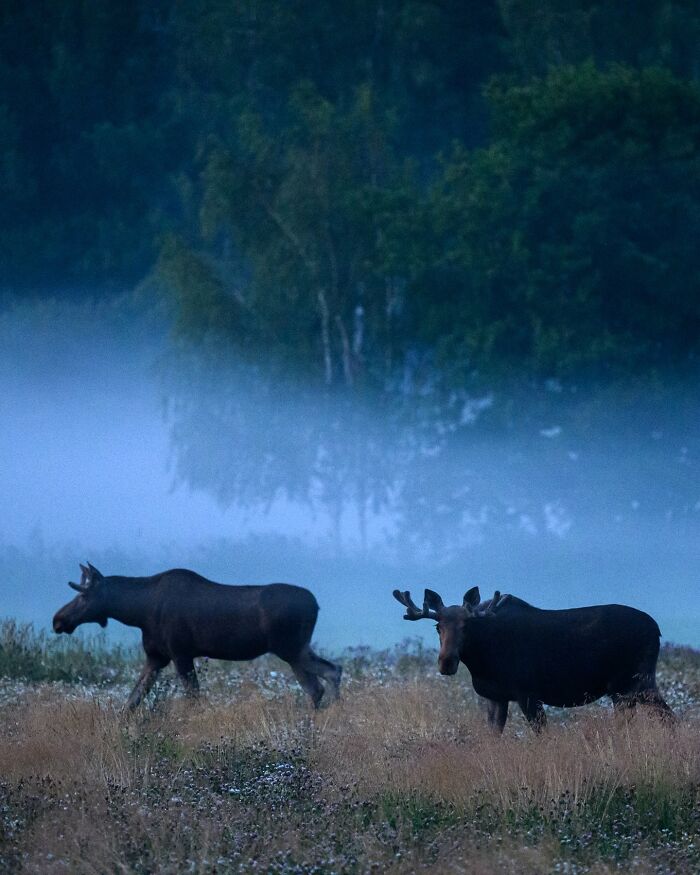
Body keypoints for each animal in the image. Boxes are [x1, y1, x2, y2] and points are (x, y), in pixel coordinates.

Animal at [53, 560, 344, 712]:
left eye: (83, 595)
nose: (58, 620)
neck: (137, 613)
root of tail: (316, 604)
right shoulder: (156, 657)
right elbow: (132, 700)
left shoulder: (180, 652)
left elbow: (193, 698)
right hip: (296, 650)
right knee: (319, 683)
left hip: (290, 647)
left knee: (330, 673)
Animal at [394, 588, 672, 732]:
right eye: (437, 627)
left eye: (467, 626)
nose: (446, 662)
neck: (481, 664)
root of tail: (657, 629)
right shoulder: (495, 696)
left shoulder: (528, 693)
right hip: (634, 688)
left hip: (630, 686)